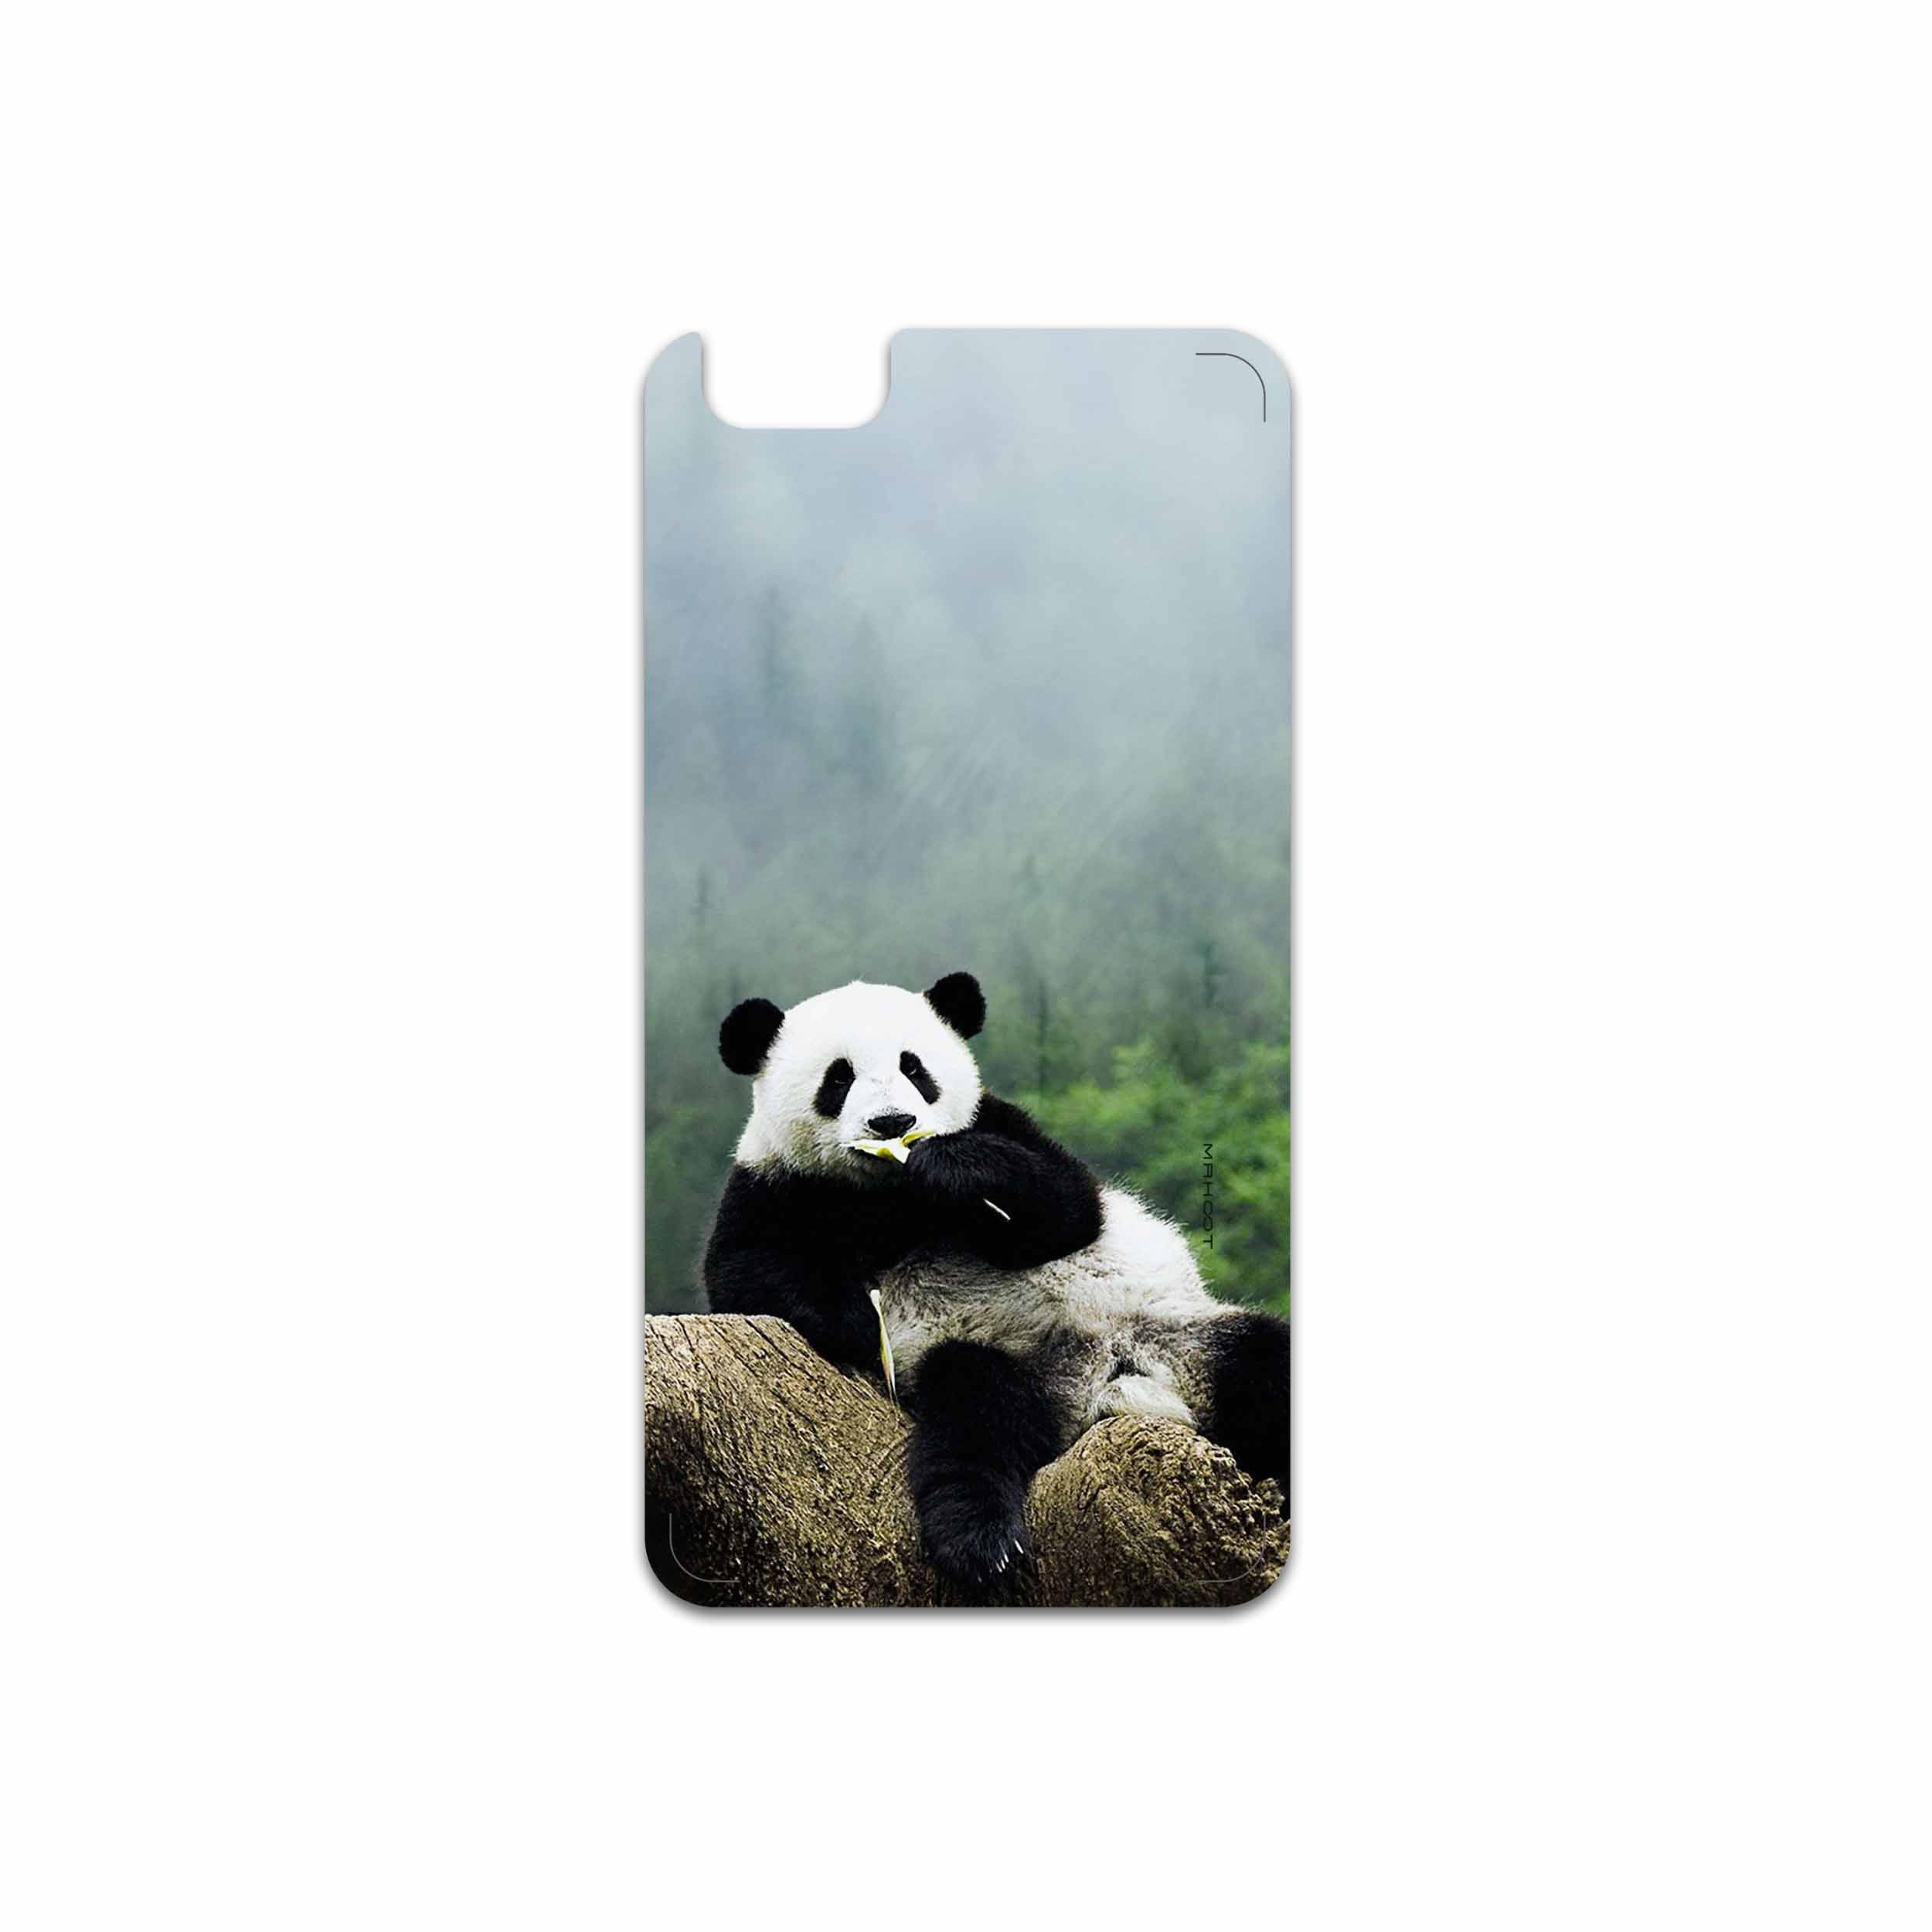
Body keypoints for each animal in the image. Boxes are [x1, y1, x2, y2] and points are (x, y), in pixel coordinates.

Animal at [704, 971, 1290, 1590]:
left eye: (915, 1068)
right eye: (839, 1077)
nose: (893, 1124)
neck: (889, 1194)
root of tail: (1103, 1385)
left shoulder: (1001, 1123)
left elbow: (1068, 1208)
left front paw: (950, 1168)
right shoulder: (774, 1184)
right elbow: (745, 1271)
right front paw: (860, 1321)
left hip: (1181, 1334)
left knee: (1265, 1364)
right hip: (989, 1358)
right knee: (975, 1420)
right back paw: (981, 1541)